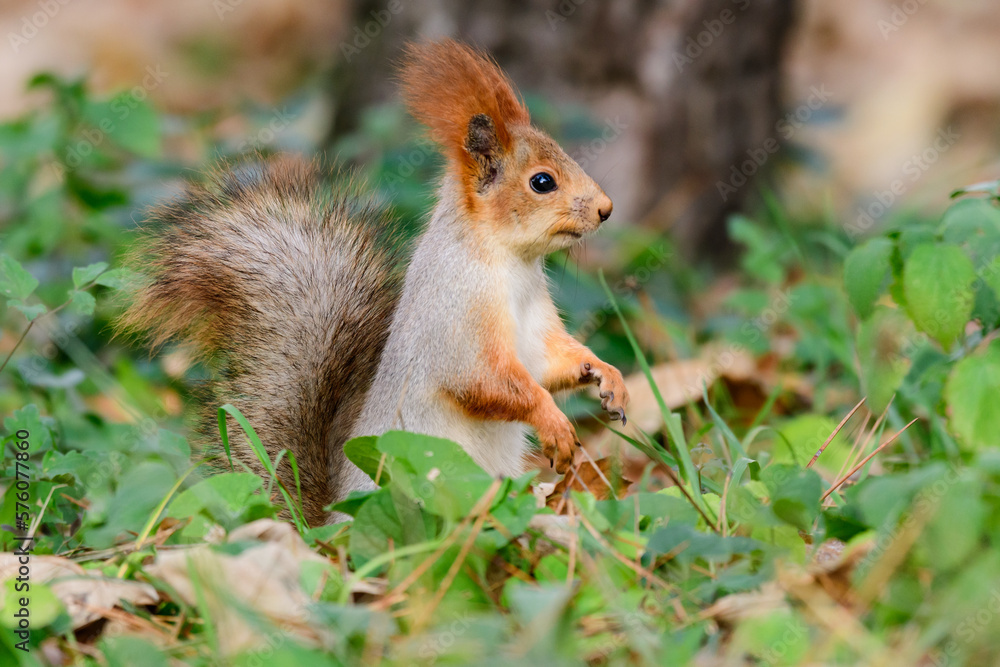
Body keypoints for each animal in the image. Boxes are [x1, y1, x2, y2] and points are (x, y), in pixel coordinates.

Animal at [121, 40, 628, 528]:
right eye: (542, 182)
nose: (607, 209)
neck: (513, 265)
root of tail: (326, 528)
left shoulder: (536, 327)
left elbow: (551, 363)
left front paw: (608, 377)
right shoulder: (456, 318)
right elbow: (488, 383)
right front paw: (554, 424)